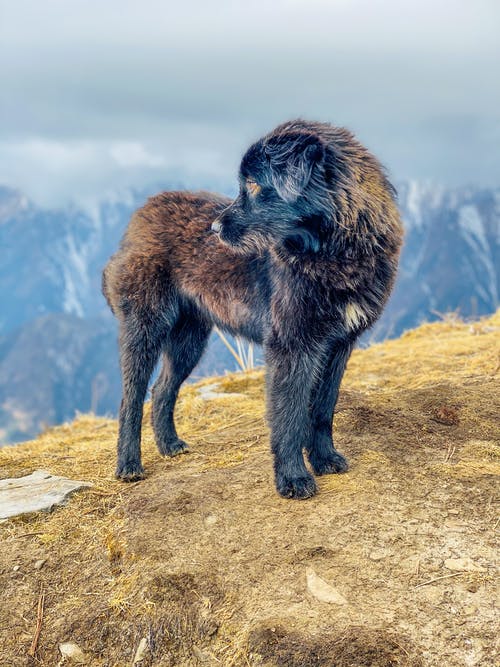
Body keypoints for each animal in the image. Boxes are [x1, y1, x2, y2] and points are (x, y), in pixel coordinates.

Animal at [102, 120, 402, 498]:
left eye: (255, 185)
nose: (215, 228)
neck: (335, 251)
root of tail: (138, 219)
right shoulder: (291, 346)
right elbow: (289, 415)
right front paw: (293, 478)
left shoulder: (338, 346)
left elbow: (322, 410)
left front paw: (324, 459)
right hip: (145, 330)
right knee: (131, 398)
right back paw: (129, 465)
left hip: (189, 341)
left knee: (162, 389)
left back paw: (169, 445)